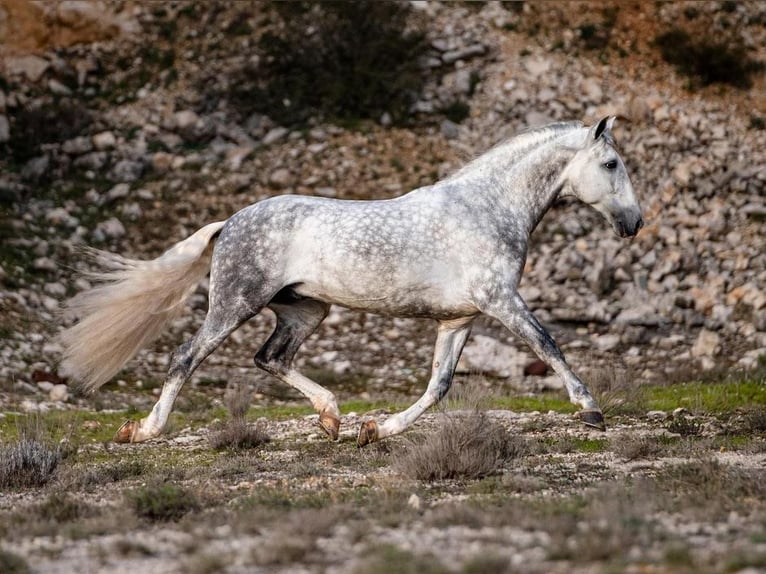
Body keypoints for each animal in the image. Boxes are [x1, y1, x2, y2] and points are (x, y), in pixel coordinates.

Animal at [58, 116, 643, 446]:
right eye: (611, 163)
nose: (634, 223)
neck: (488, 208)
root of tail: (229, 222)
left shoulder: (459, 319)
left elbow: (438, 385)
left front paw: (375, 430)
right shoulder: (500, 300)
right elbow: (549, 344)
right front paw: (590, 412)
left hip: (304, 310)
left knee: (271, 359)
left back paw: (332, 420)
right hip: (234, 304)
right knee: (186, 358)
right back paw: (144, 431)